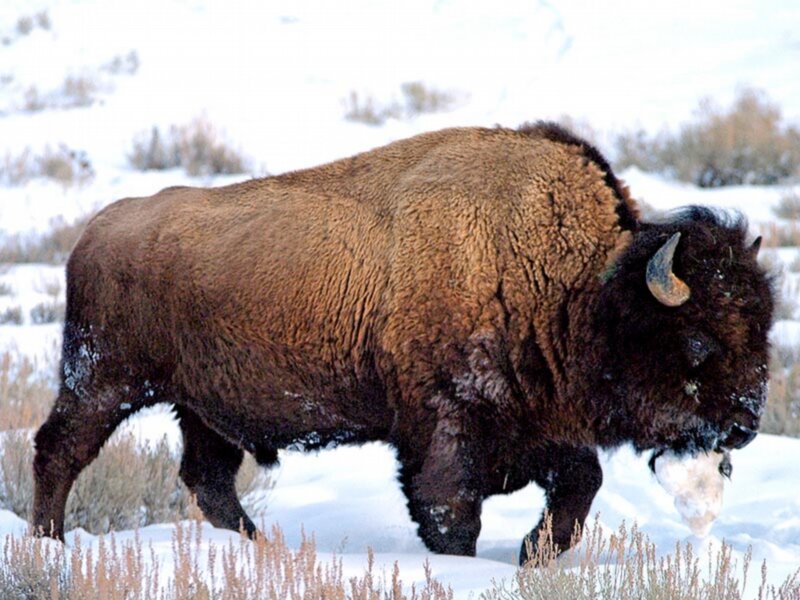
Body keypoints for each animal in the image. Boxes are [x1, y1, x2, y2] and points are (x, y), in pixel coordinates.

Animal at [32, 123, 774, 563]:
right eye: (699, 341)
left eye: (763, 328)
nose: (743, 427)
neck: (579, 286)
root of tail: (96, 231)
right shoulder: (447, 431)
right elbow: (451, 513)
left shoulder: (537, 424)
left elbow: (579, 486)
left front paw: (531, 555)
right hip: (102, 381)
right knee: (58, 452)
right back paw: (50, 546)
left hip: (201, 410)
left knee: (207, 481)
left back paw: (264, 551)